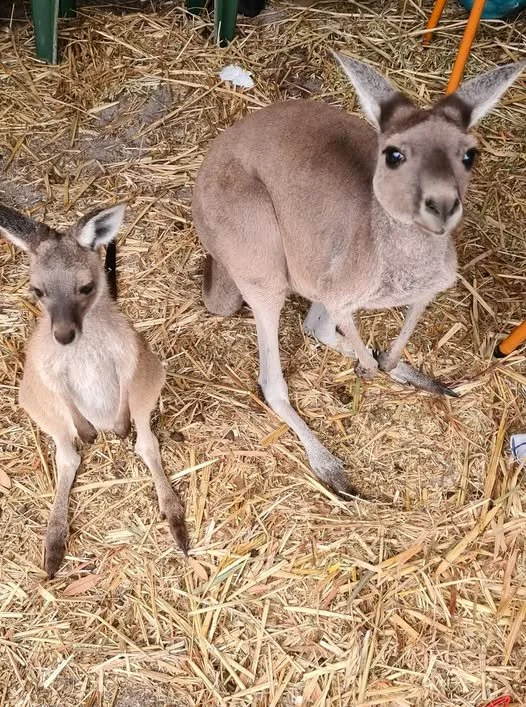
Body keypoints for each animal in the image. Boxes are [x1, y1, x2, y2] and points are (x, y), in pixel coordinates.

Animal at [0, 203, 188, 577]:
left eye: (86, 287)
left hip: (150, 378)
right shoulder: (48, 368)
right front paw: (87, 433)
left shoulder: (128, 353)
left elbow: (125, 378)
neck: (82, 340)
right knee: (67, 455)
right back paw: (54, 542)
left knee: (145, 443)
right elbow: (62, 391)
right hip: (36, 401)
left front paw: (118, 428)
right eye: (38, 292)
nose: (63, 336)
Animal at [192, 53, 525, 499]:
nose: (442, 206)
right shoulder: (342, 289)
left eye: (470, 156)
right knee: (274, 380)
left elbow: (403, 320)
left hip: (314, 256)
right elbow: (345, 329)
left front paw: (387, 361)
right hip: (257, 248)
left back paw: (405, 372)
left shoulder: (430, 283)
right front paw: (368, 368)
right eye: (393, 156)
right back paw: (330, 464)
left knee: (315, 326)